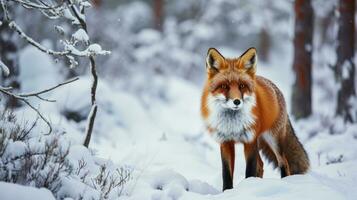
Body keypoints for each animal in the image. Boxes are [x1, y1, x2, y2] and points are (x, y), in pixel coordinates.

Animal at [200, 47, 308, 191]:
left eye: (242, 86)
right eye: (224, 86)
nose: (236, 101)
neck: (233, 125)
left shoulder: (250, 141)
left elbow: (250, 170)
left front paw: (247, 187)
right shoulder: (225, 142)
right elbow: (226, 173)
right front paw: (227, 191)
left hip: (273, 139)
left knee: (283, 162)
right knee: (261, 165)